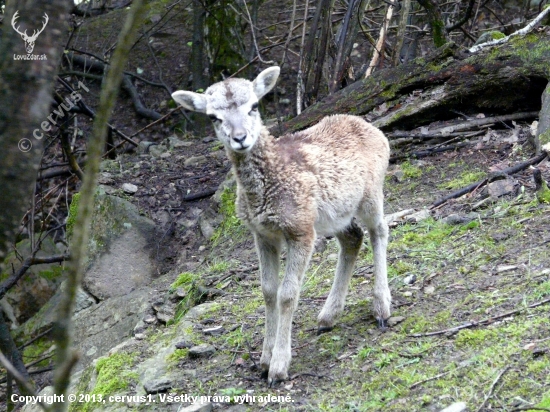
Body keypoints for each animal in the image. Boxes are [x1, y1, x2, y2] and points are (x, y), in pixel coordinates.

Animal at [172, 66, 392, 384]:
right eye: (213, 117)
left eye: (254, 106)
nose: (240, 138)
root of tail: (376, 131)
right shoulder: (262, 234)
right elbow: (268, 292)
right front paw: (263, 360)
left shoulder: (300, 229)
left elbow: (288, 294)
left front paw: (278, 367)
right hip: (335, 214)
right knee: (353, 238)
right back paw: (328, 316)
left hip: (370, 194)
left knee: (379, 230)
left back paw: (382, 308)